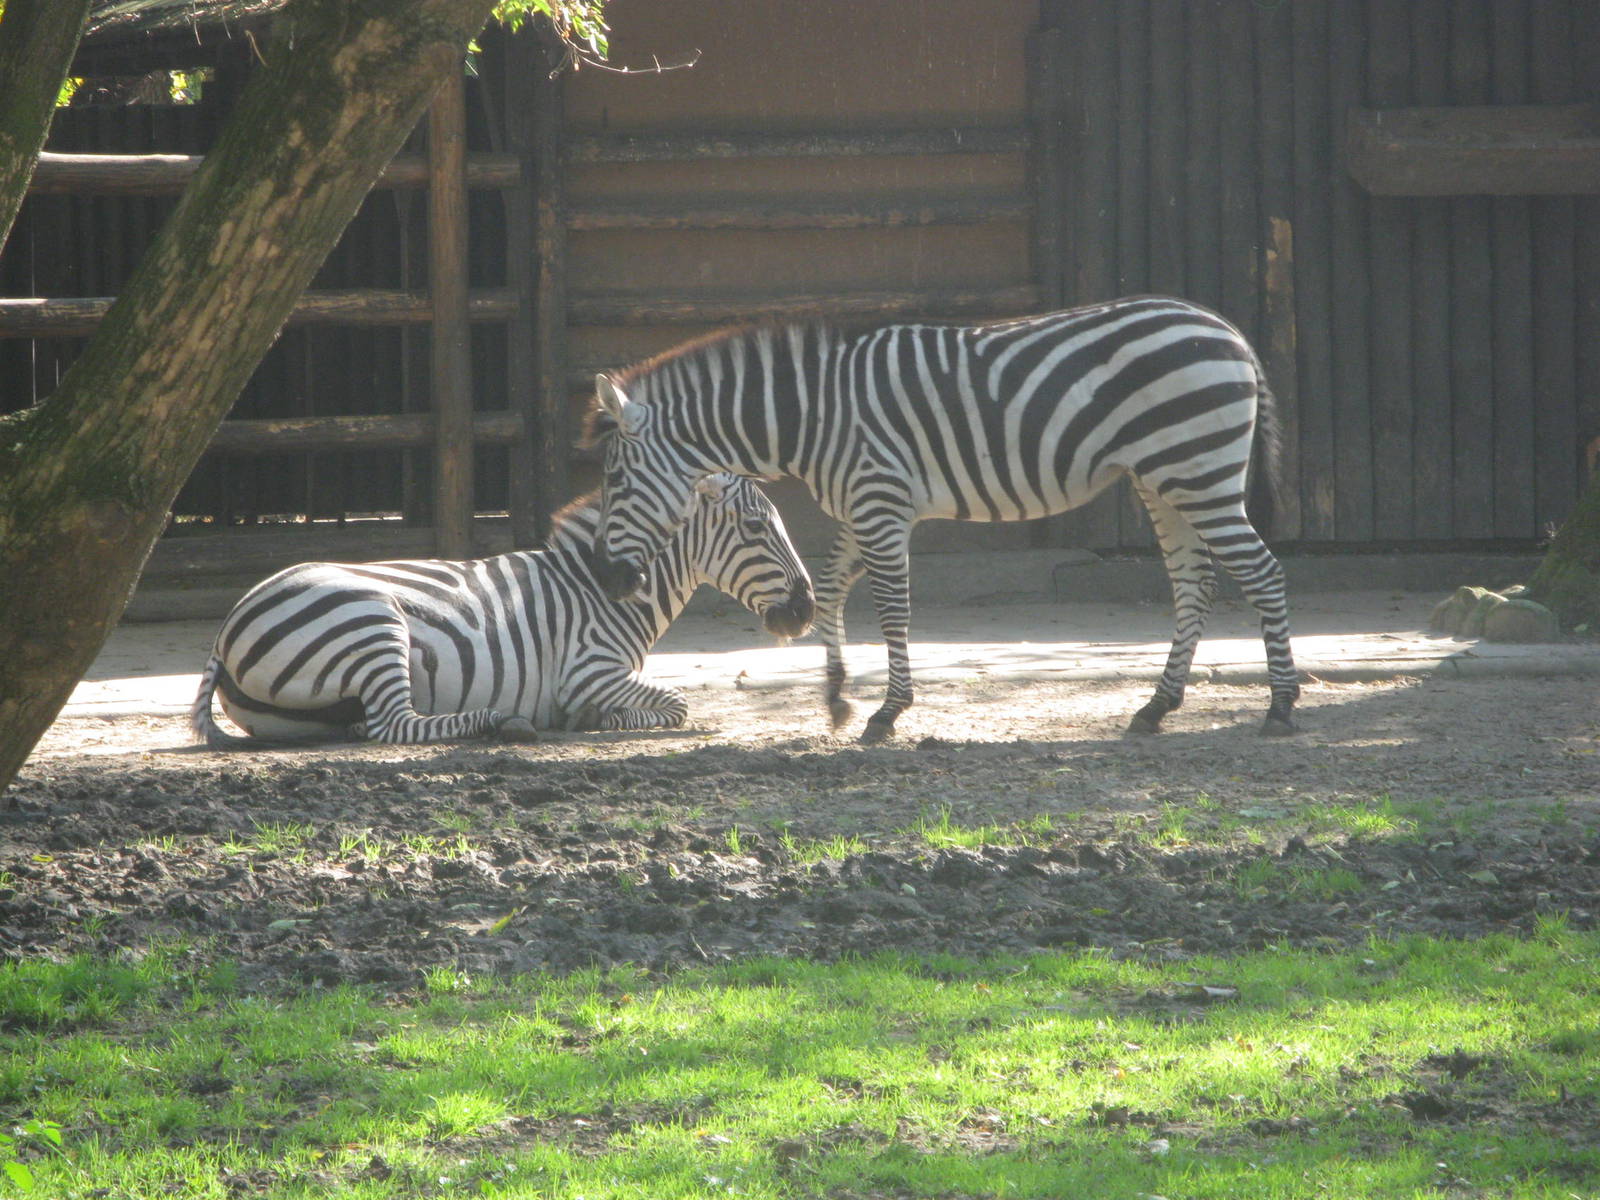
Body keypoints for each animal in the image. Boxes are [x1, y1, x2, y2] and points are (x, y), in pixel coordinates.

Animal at [189, 474, 814, 746]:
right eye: (756, 527)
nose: (808, 610)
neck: (602, 589)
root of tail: (225, 630)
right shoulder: (587, 671)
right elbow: (678, 704)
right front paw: (592, 719)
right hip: (372, 620)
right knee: (395, 726)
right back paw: (501, 723)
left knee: (371, 722)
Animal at [586, 295, 1299, 743]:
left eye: (614, 480)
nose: (607, 579)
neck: (815, 417)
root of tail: (1228, 331)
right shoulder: (863, 504)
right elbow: (833, 588)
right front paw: (837, 698)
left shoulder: (880, 501)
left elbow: (892, 609)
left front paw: (887, 712)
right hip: (1163, 478)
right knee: (1192, 582)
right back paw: (1158, 706)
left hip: (1198, 470)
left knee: (1262, 573)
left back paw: (1281, 706)